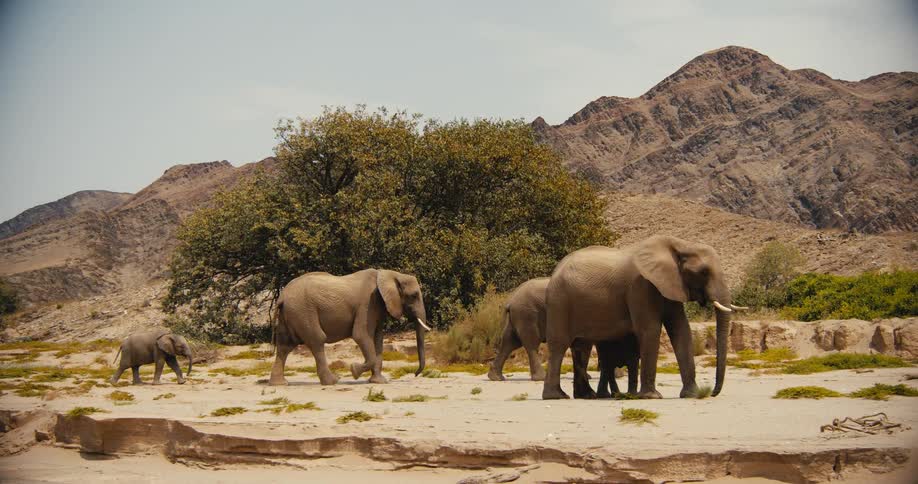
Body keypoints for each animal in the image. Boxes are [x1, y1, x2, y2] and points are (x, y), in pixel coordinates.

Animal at [269, 269, 430, 386]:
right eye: (414, 296)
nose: (415, 374)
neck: (390, 274)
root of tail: (282, 296)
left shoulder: (378, 306)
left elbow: (378, 338)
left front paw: (378, 382)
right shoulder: (367, 304)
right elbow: (361, 335)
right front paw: (354, 371)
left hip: (290, 314)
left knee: (284, 346)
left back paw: (279, 384)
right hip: (303, 312)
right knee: (317, 340)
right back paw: (333, 381)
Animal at [542, 235, 741, 400]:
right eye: (703, 272)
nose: (713, 392)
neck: (680, 245)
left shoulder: (670, 284)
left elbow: (681, 329)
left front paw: (691, 395)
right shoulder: (640, 286)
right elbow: (650, 329)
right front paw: (652, 397)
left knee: (582, 347)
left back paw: (586, 396)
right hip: (559, 301)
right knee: (559, 345)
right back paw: (557, 396)